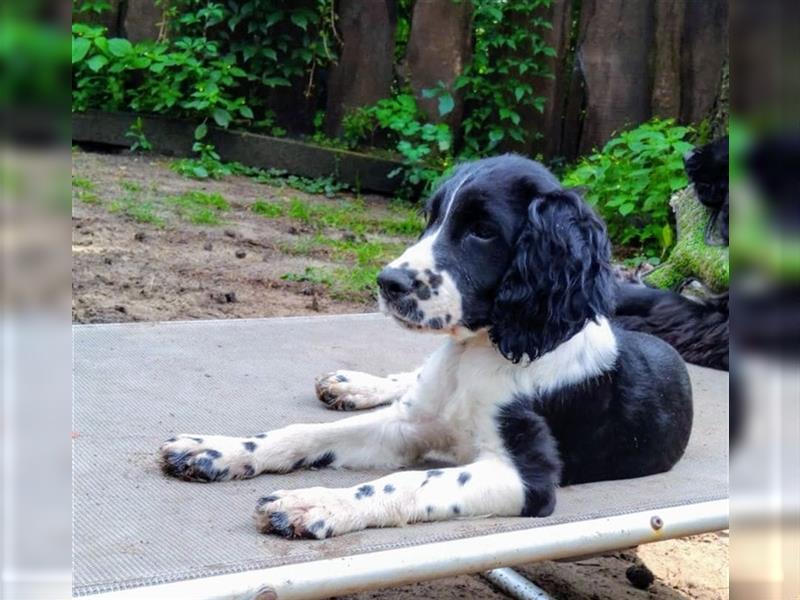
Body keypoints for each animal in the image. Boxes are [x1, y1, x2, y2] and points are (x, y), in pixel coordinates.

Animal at [159, 155, 692, 540]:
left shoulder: (528, 477)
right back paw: (352, 384)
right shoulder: (407, 426)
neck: (479, 351)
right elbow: (308, 433)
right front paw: (218, 449)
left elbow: (413, 480)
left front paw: (317, 502)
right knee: (404, 380)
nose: (388, 283)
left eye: (482, 230)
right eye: (430, 218)